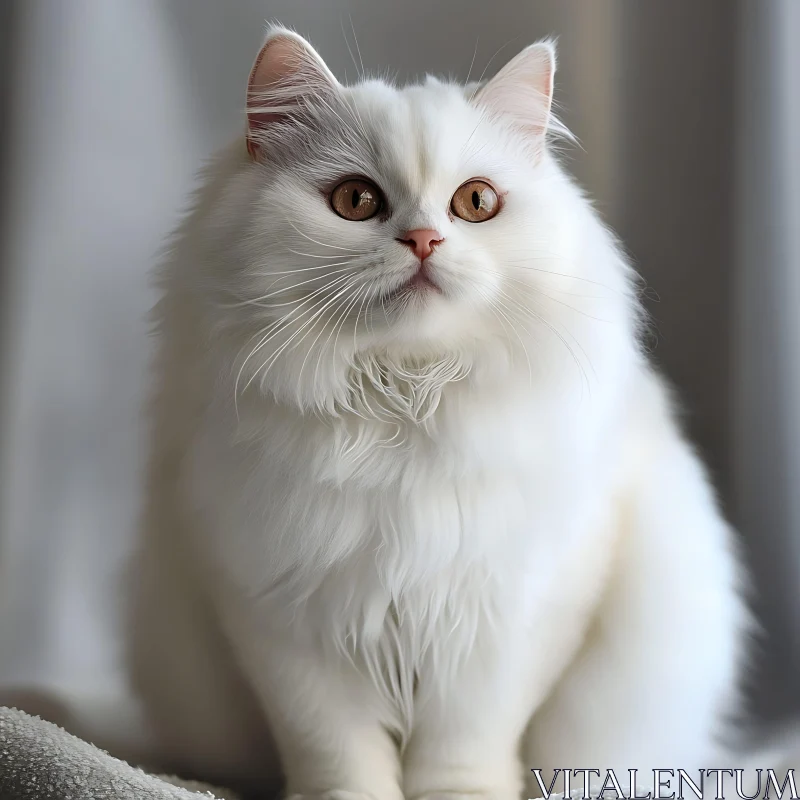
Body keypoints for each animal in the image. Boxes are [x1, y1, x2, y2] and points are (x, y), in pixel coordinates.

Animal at [128, 25, 752, 800]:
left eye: (476, 202)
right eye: (356, 200)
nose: (424, 241)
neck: (404, 407)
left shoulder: (513, 613)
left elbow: (463, 745)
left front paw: (459, 795)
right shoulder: (278, 614)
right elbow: (337, 750)